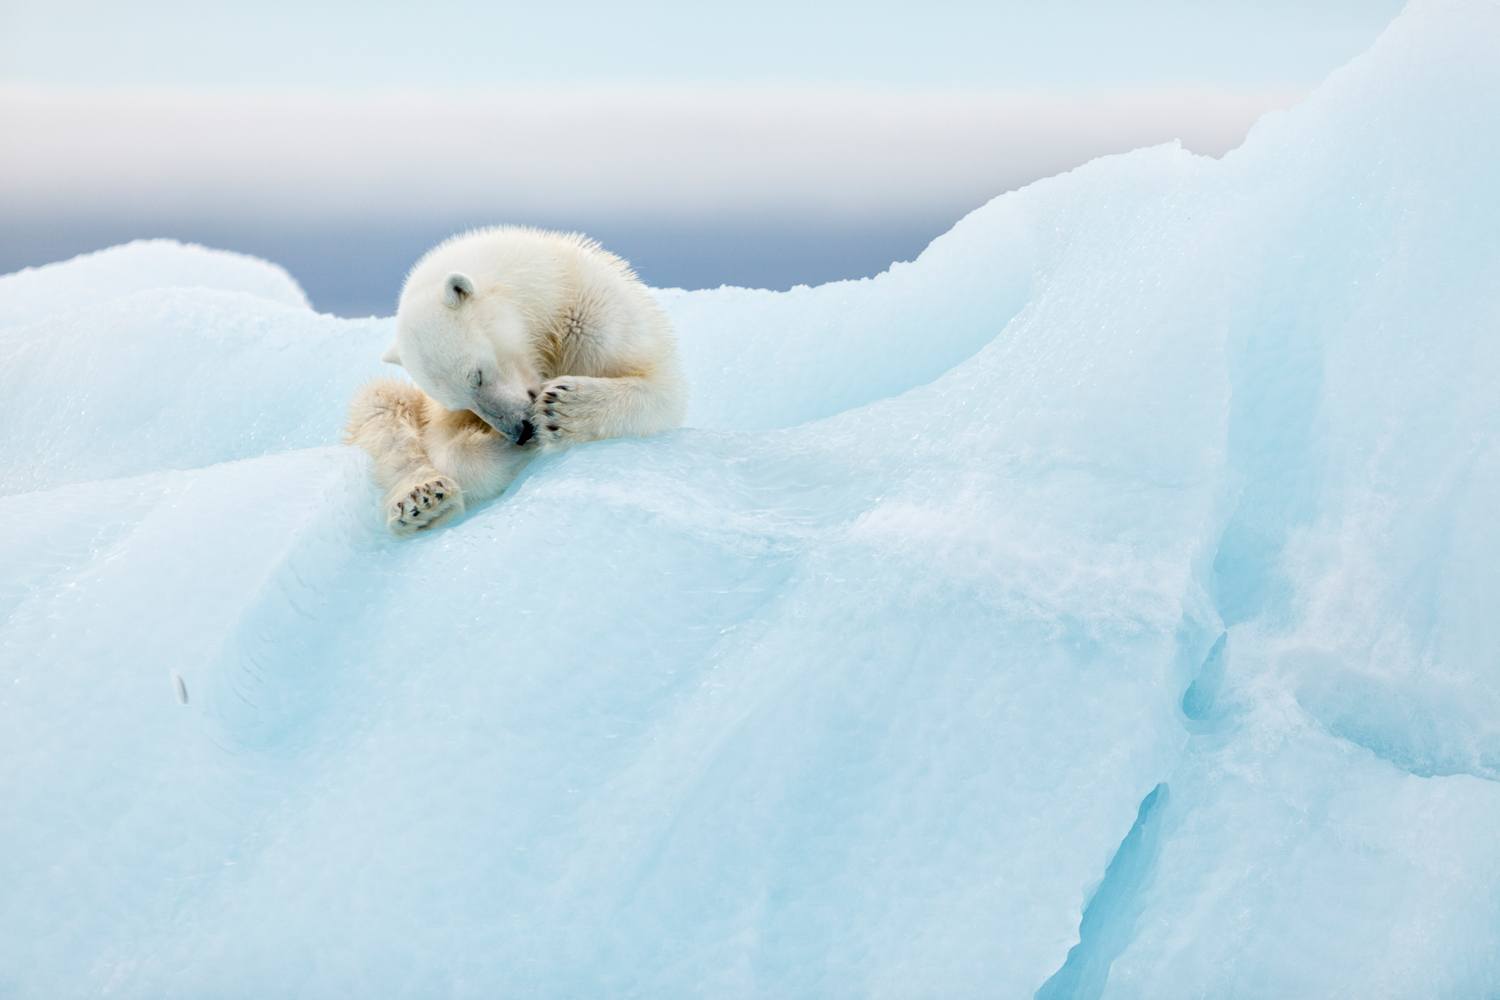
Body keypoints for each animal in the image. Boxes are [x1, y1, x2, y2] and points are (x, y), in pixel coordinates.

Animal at [345, 229, 687, 536]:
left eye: (477, 375)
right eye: (459, 401)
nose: (520, 432)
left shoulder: (597, 321)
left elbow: (662, 389)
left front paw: (562, 407)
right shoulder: (438, 412)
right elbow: (447, 447)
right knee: (380, 404)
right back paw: (423, 500)